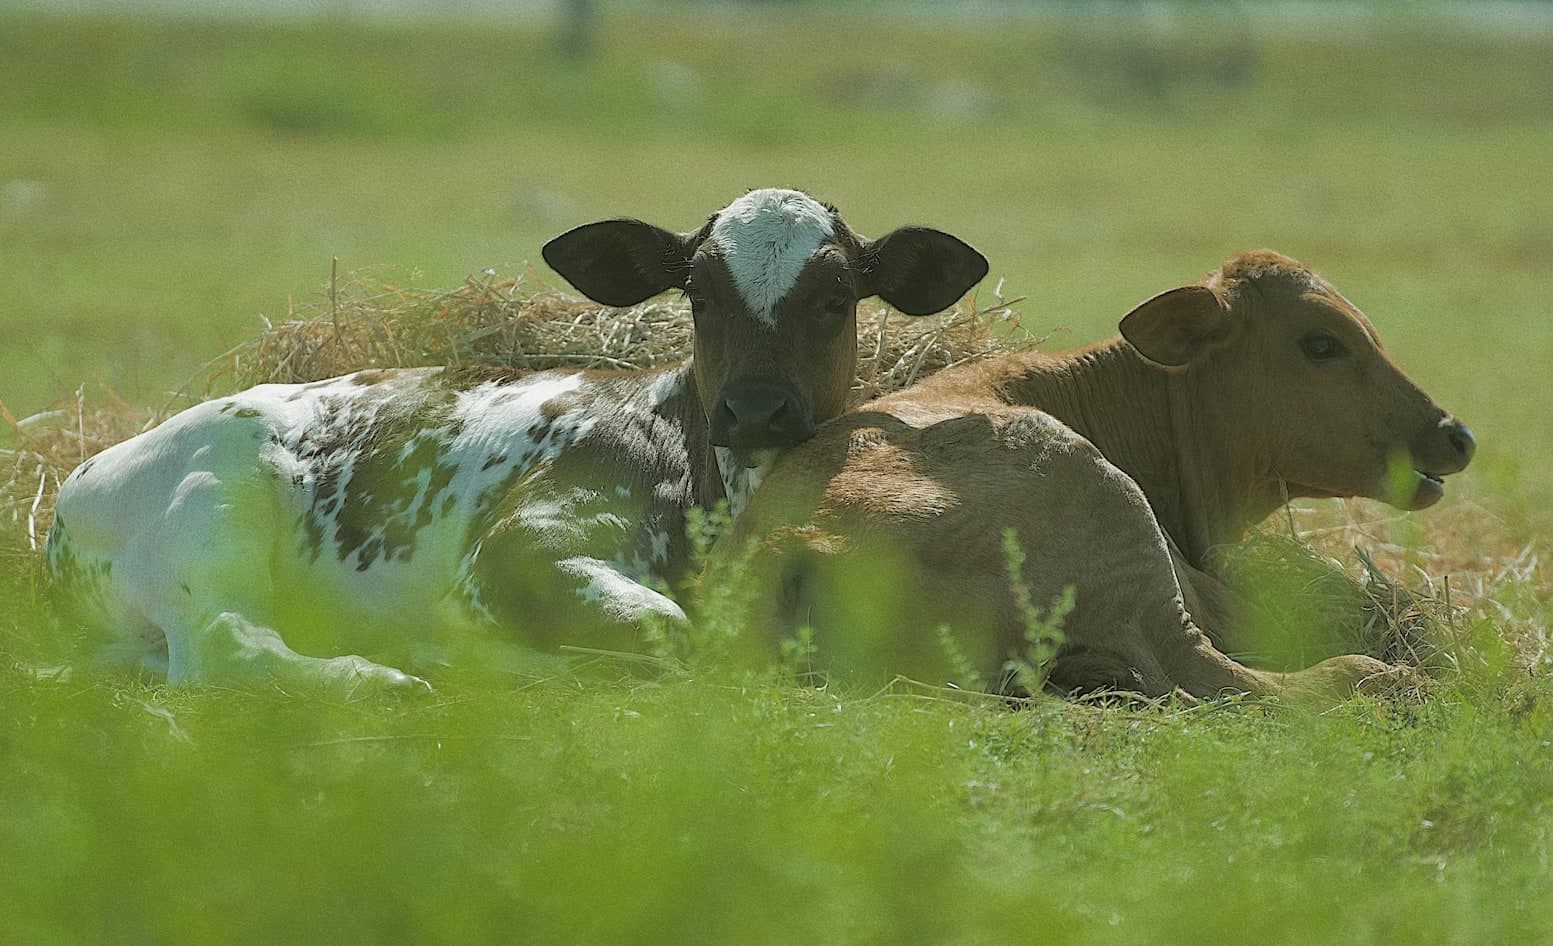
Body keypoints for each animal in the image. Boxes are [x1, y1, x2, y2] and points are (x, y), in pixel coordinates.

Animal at [44, 189, 989, 695]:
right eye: (699, 295)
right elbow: (668, 630)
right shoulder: (517, 545)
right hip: (211, 509)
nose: (755, 410)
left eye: (836, 297)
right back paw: (390, 675)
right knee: (227, 642)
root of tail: (79, 478)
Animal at [712, 250, 1475, 707]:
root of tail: (797, 539)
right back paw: (1385, 676)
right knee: (1223, 673)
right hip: (1118, 525)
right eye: (1321, 343)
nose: (1454, 434)